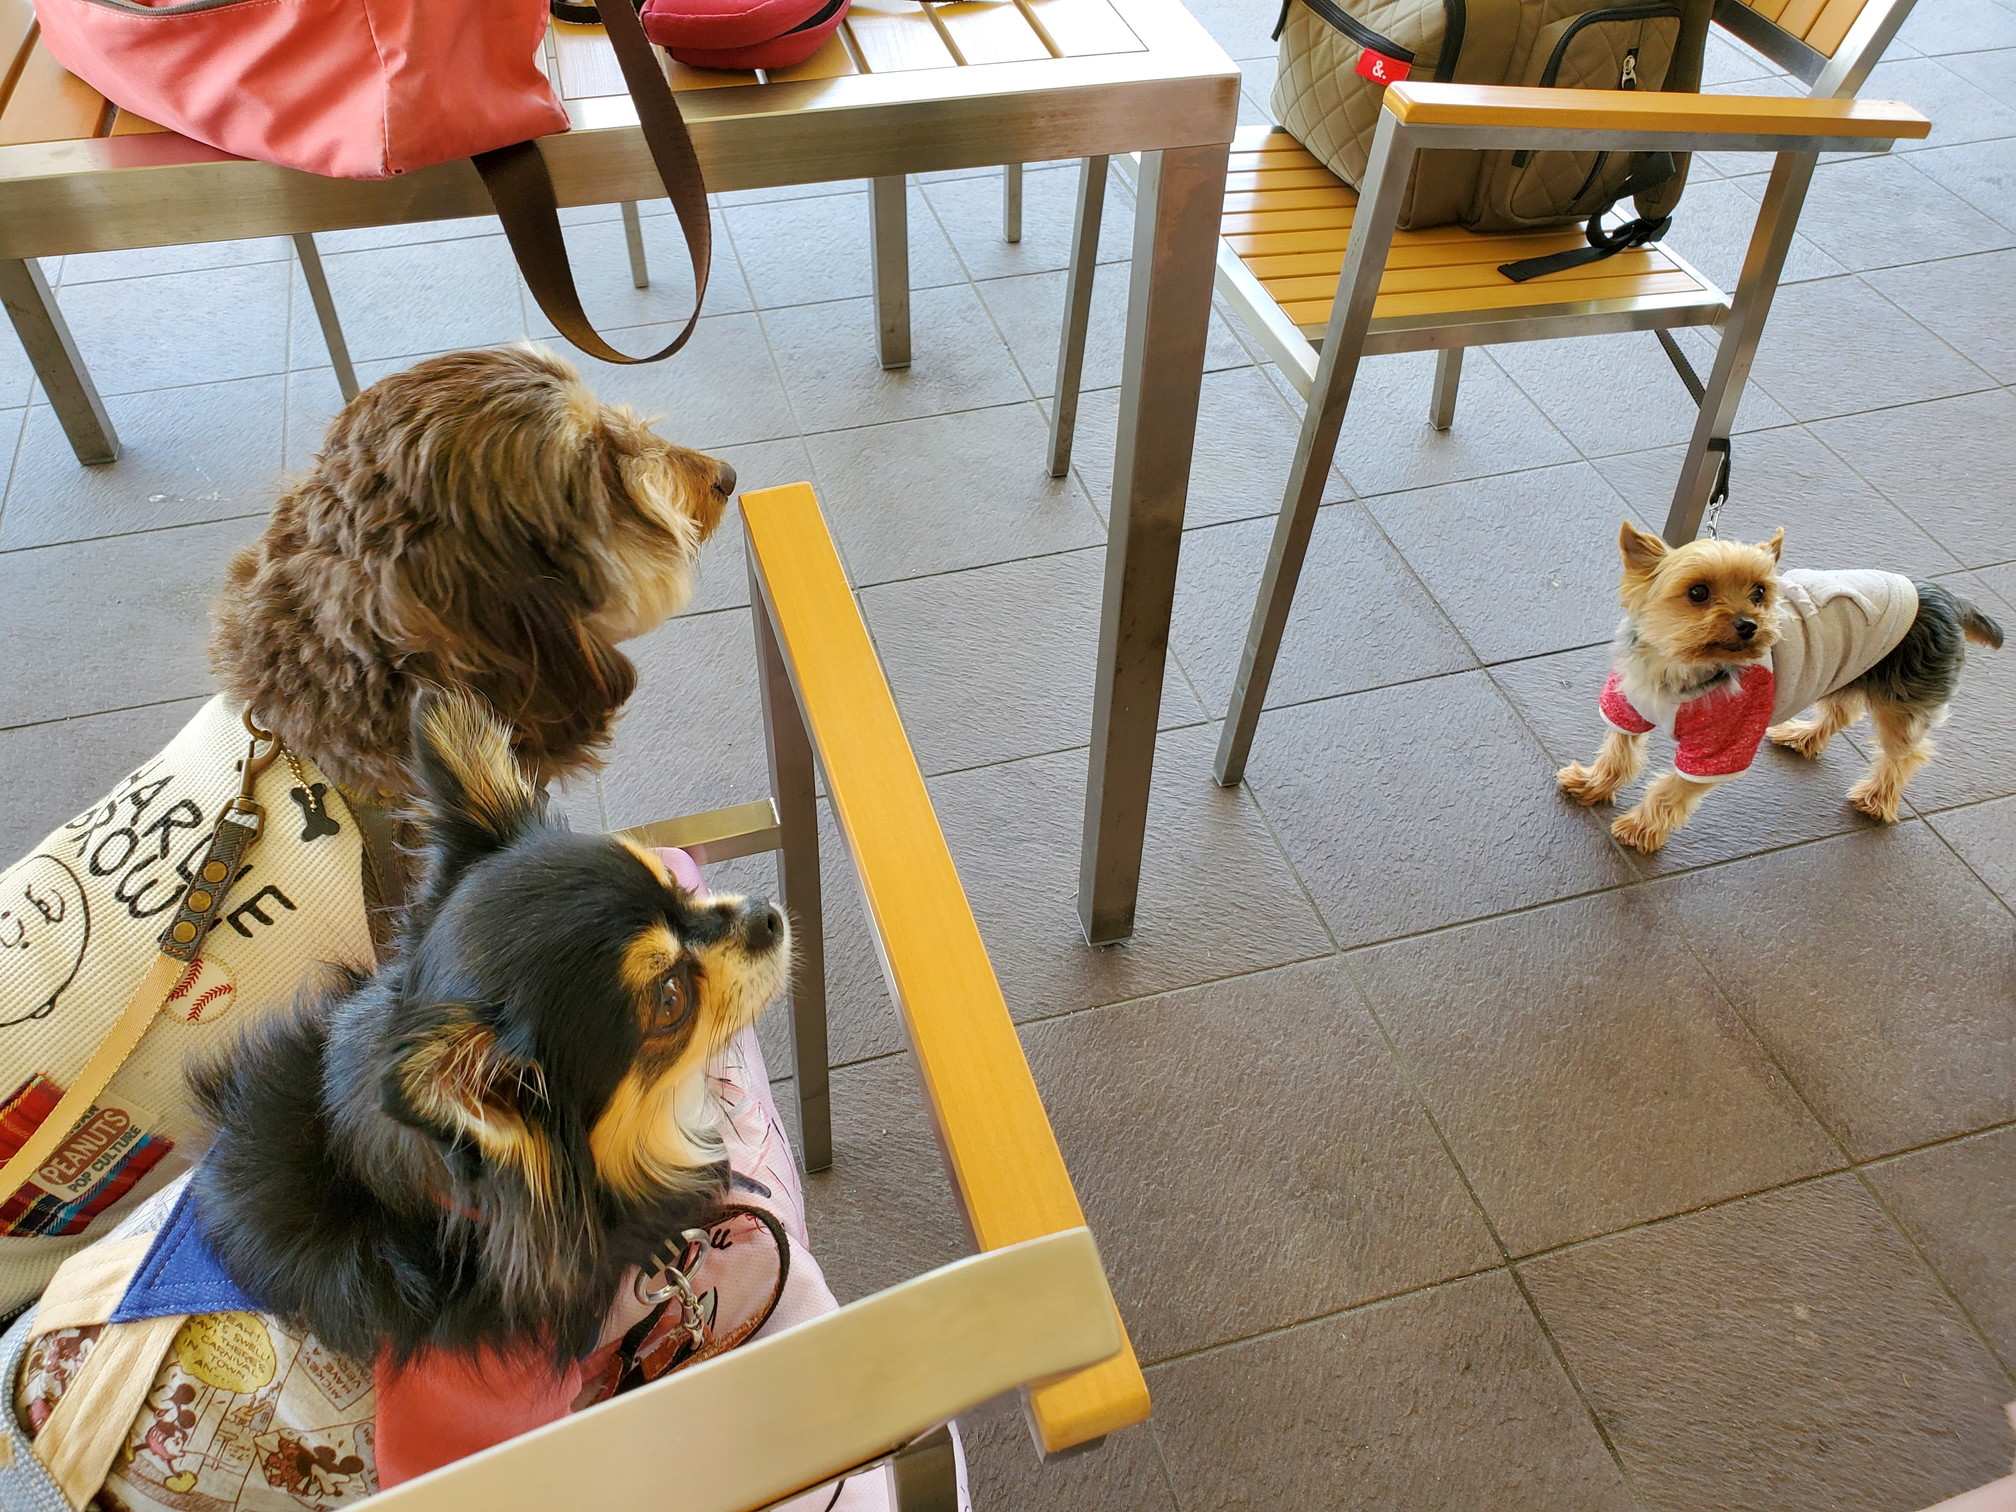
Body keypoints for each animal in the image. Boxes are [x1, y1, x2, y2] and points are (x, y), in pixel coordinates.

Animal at [1556, 520, 1999, 854]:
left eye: (1759, 592)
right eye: (1697, 592)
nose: (1749, 625)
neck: (1681, 666)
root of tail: (1946, 597)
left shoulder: (1724, 744)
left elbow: (1672, 788)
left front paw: (1640, 828)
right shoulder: (1630, 702)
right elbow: (1619, 750)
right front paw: (1594, 783)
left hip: (1904, 695)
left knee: (1905, 753)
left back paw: (1877, 797)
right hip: (1848, 667)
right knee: (1843, 708)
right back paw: (1804, 737)